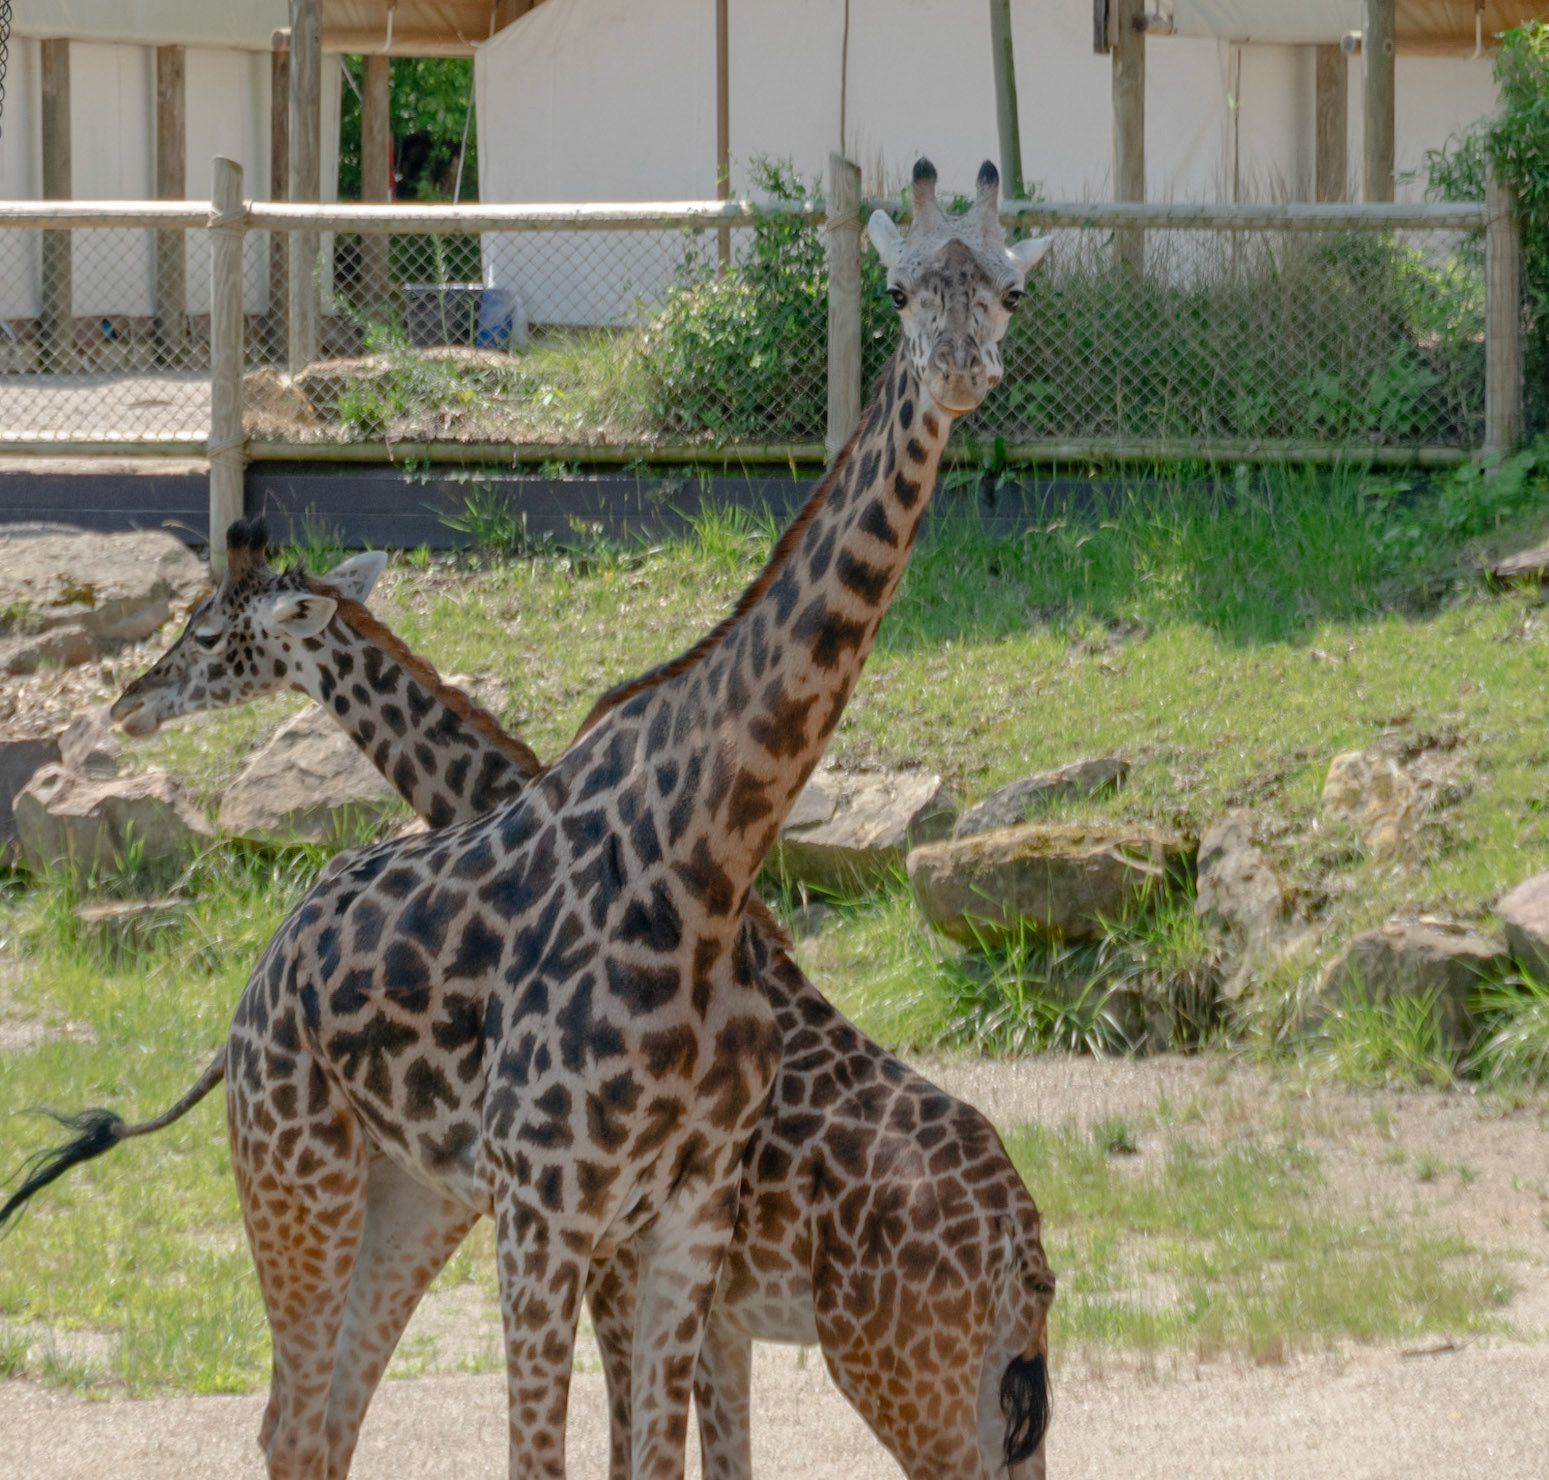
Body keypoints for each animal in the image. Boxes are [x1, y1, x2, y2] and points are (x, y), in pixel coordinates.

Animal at [4, 159, 1053, 1480]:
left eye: (1009, 292)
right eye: (905, 290)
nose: (130, 700)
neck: (702, 860)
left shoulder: (660, 1227)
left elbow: (646, 1460)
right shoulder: (565, 1217)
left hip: (879, 1358)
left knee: (317, 1415)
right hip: (318, 1176)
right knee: (300, 1417)